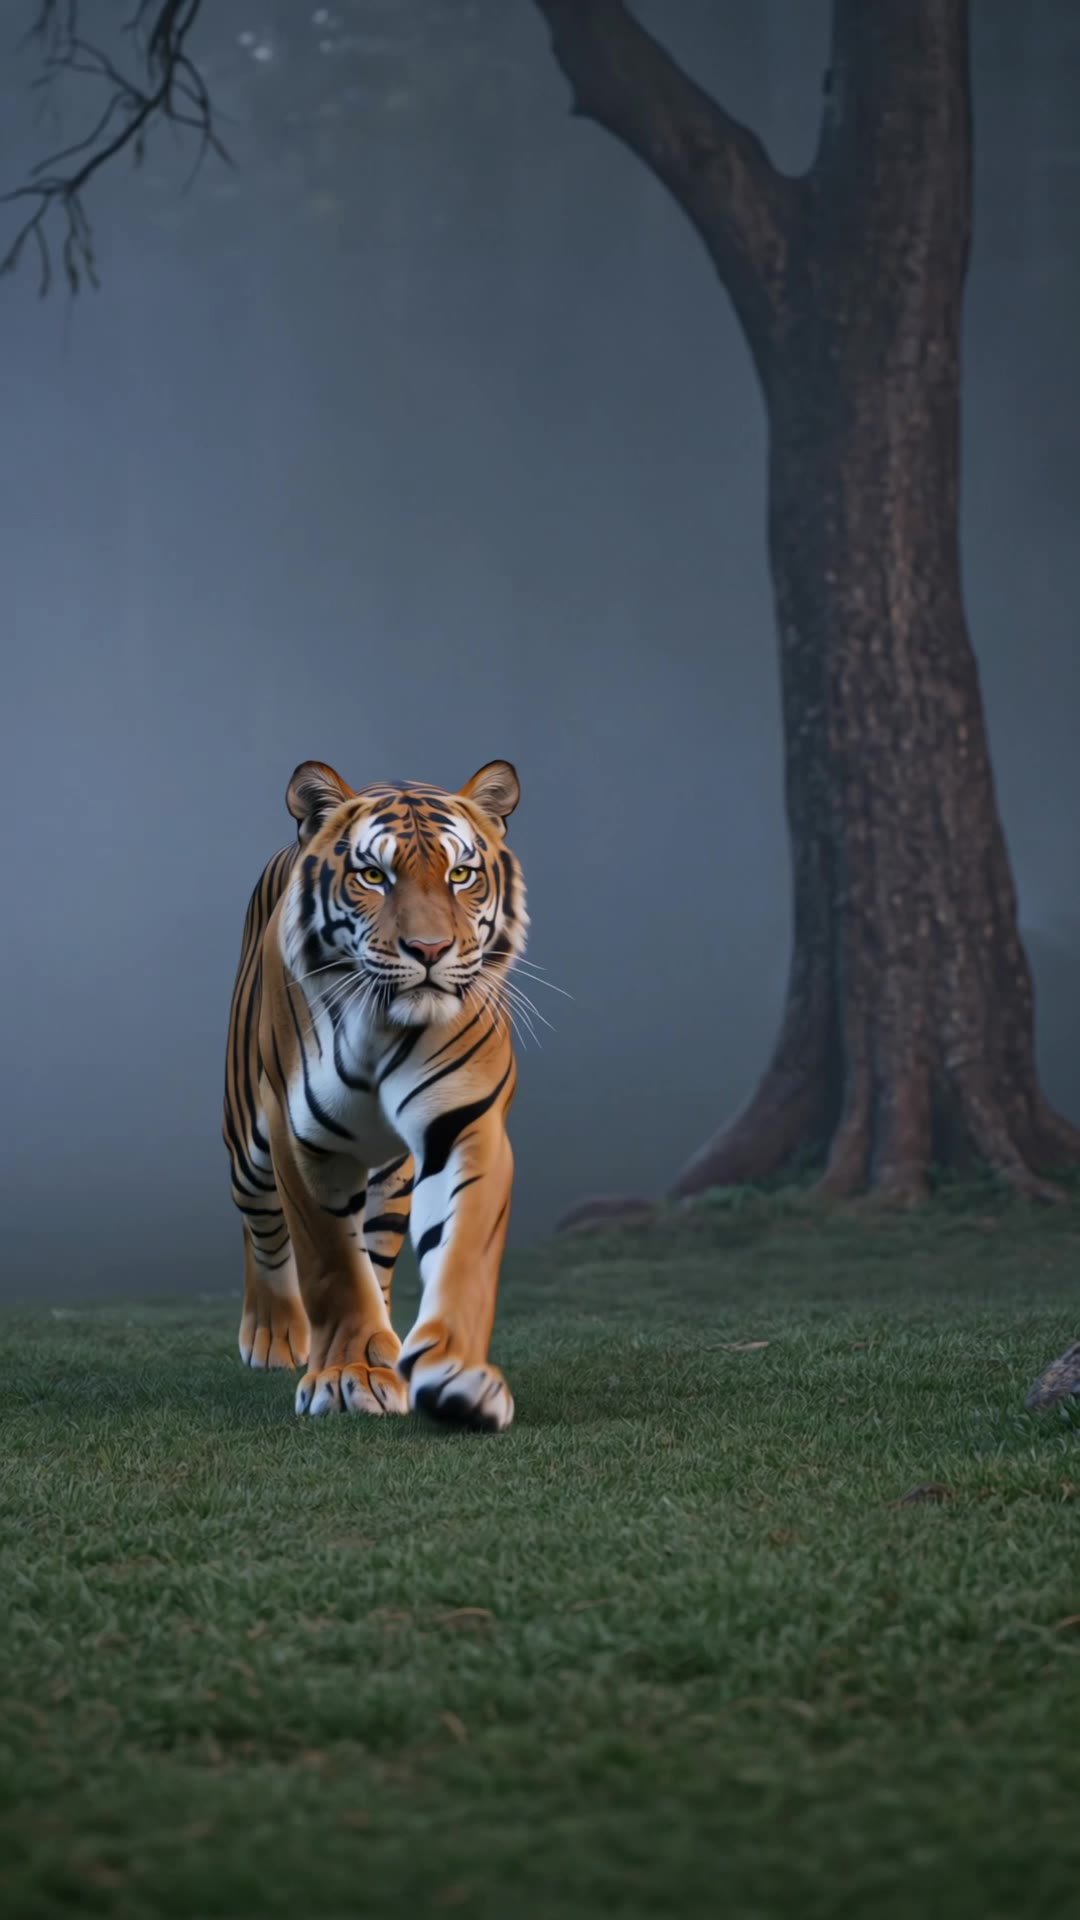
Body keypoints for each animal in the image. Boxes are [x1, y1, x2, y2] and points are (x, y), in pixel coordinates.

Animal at [222, 758, 527, 1431]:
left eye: (460, 874)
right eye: (373, 877)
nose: (431, 951)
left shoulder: (466, 1123)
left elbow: (462, 1251)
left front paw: (456, 1376)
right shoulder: (301, 1138)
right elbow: (330, 1264)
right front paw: (348, 1376)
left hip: (392, 1179)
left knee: (376, 1251)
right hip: (248, 1146)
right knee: (263, 1232)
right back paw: (276, 1334)